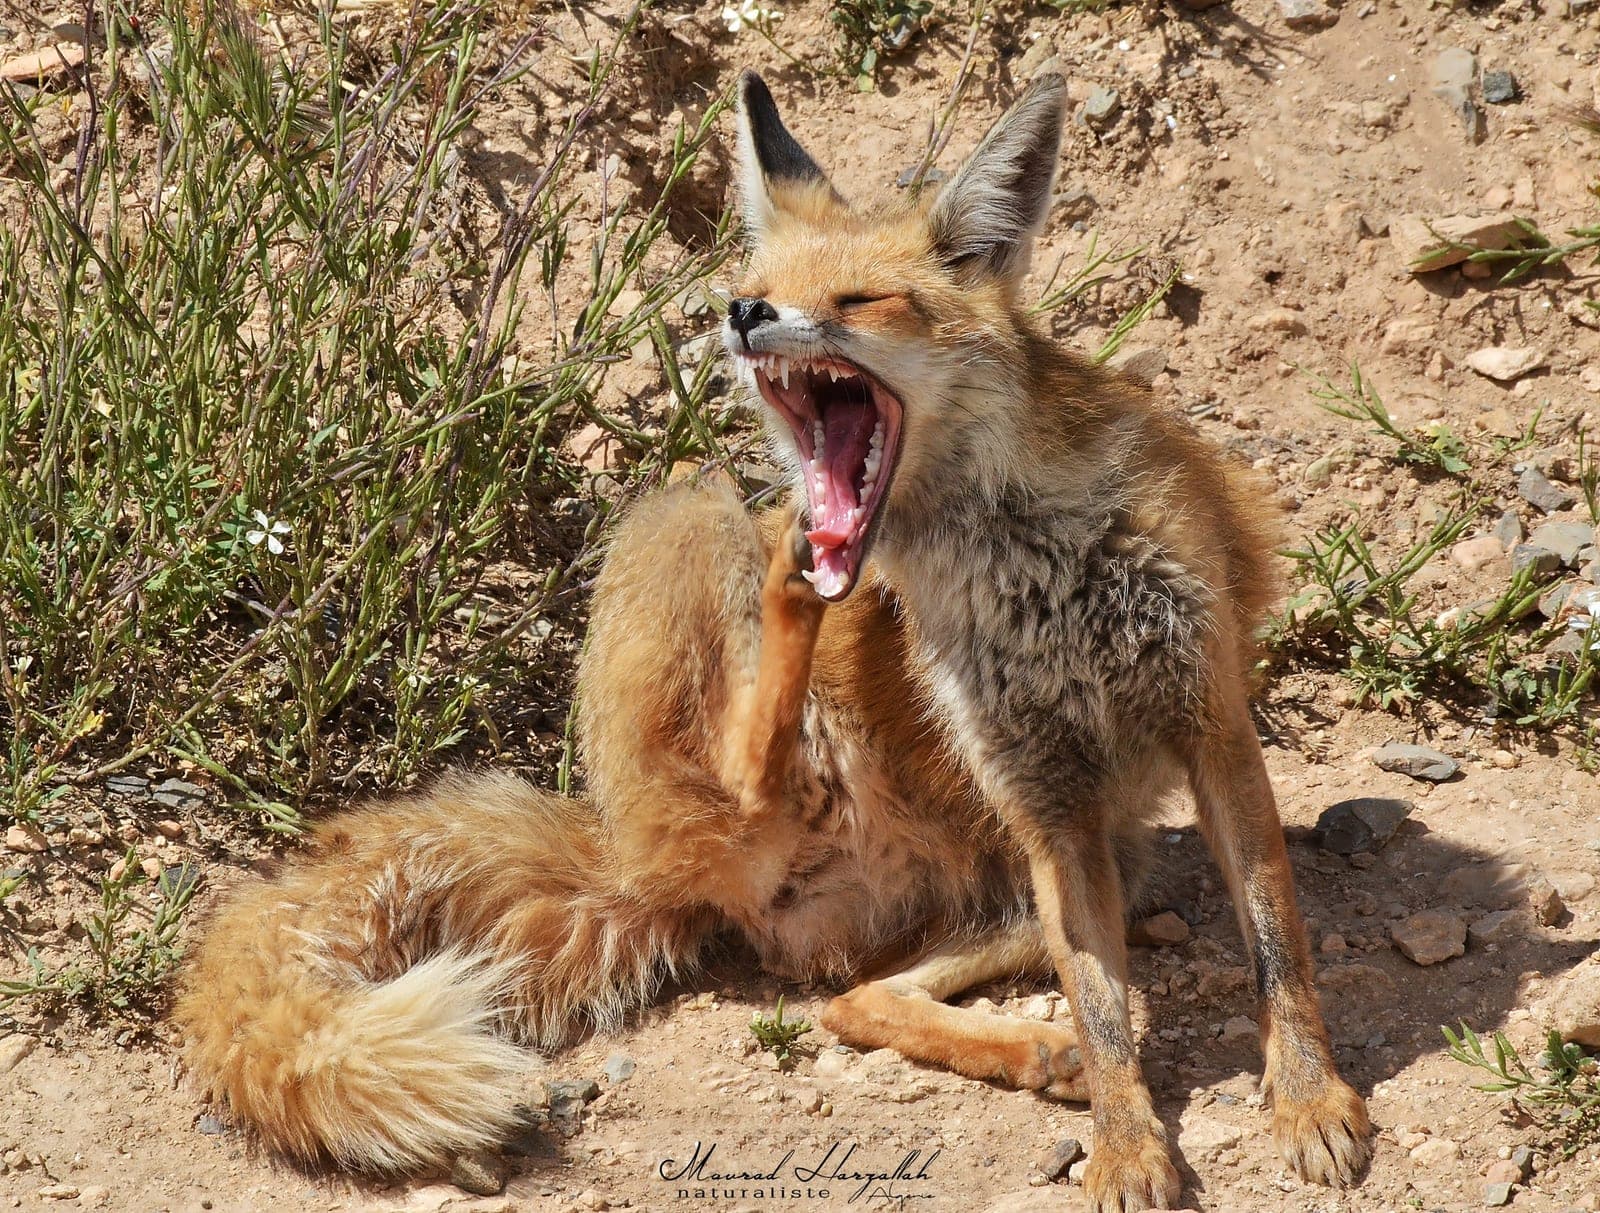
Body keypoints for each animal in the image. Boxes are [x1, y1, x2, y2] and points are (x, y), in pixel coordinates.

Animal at [175, 71, 1372, 1210]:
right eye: (756, 289)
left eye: (857, 298)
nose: (745, 311)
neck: (1031, 565)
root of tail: (619, 855)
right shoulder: (1039, 792)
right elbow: (1109, 1009)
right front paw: (1129, 1144)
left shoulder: (1199, 723)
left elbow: (1277, 948)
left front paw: (1308, 1101)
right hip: (688, 512)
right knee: (769, 811)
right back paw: (793, 606)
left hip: (1081, 862)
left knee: (855, 996)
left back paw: (1038, 1051)